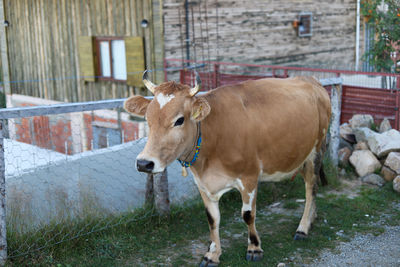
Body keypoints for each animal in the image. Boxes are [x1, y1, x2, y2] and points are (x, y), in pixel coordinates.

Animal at [125, 71, 332, 267]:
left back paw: (303, 228)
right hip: (301, 155)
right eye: (147, 119)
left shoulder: (249, 177)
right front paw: (212, 254)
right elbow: (212, 219)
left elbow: (248, 215)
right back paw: (312, 218)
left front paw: (254, 248)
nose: (144, 163)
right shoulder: (203, 183)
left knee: (311, 189)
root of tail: (312, 80)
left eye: (179, 120)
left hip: (316, 151)